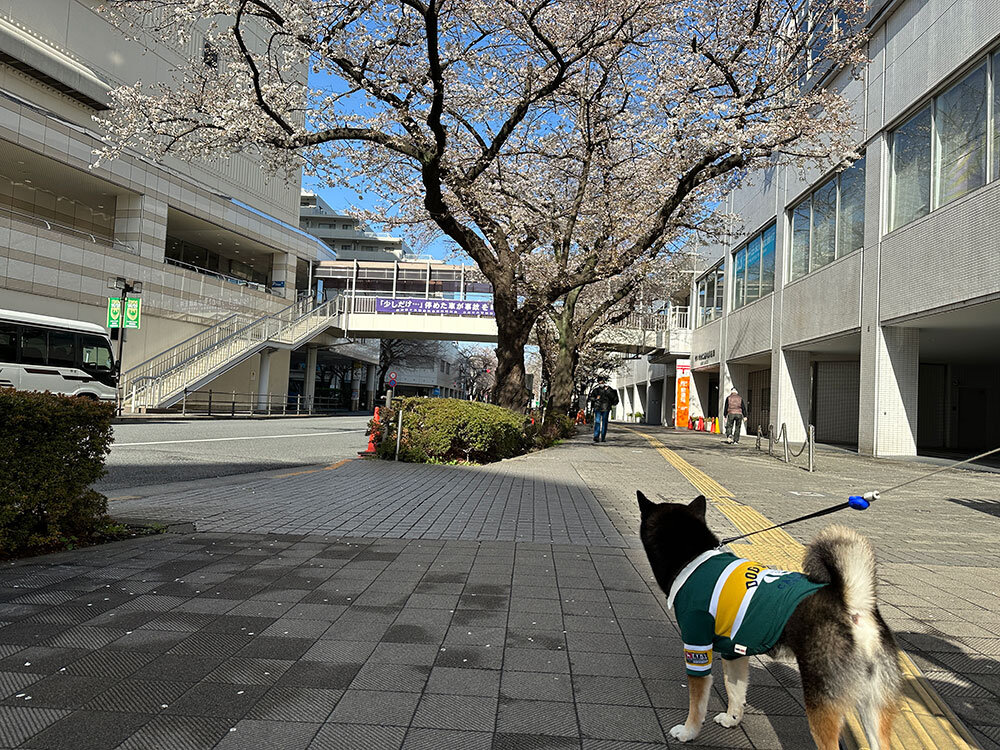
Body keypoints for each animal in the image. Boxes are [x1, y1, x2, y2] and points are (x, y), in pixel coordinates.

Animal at [640, 494, 908, 750]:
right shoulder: (733, 652)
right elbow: (735, 691)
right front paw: (732, 719)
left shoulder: (697, 647)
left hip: (822, 700)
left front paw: (688, 732)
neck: (693, 557)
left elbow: (697, 704)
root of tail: (853, 603)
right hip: (875, 703)